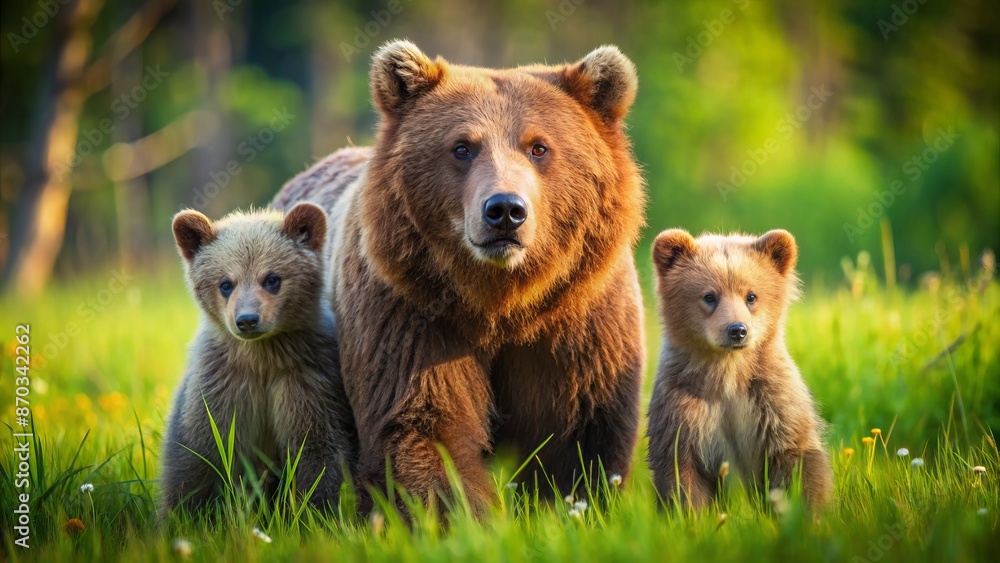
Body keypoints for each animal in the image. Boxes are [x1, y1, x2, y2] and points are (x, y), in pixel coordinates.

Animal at [159, 203, 356, 518]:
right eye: (226, 283)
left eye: (272, 278)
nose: (247, 320)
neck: (262, 359)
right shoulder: (220, 385)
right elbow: (196, 455)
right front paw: (183, 516)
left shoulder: (307, 379)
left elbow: (317, 451)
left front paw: (314, 514)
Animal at [271, 40, 646, 514]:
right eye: (462, 147)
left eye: (539, 147)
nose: (505, 210)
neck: (502, 302)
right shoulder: (410, 309)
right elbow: (425, 423)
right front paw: (471, 515)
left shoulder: (579, 318)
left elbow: (581, 435)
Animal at [645, 229, 833, 510]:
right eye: (709, 296)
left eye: (751, 296)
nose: (737, 330)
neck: (728, 372)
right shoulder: (683, 407)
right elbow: (682, 476)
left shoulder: (772, 401)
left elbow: (797, 458)